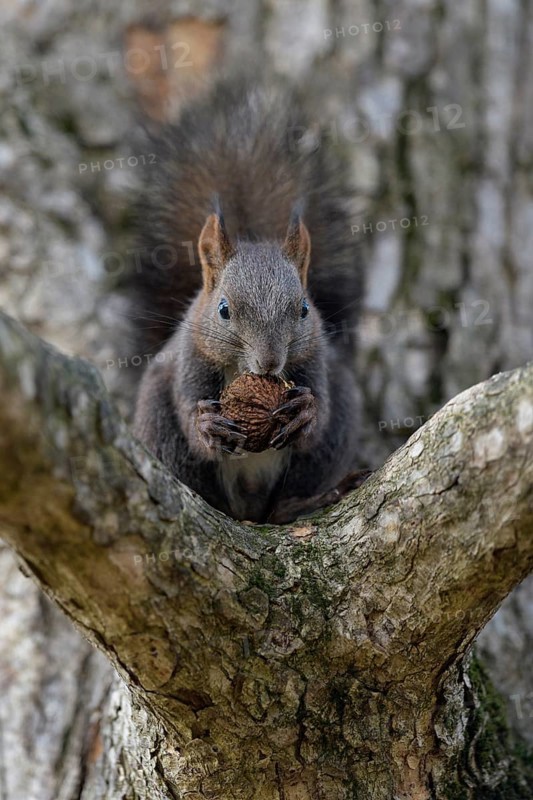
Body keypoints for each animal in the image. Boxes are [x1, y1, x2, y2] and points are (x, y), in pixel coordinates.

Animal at [130, 76, 364, 523]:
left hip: (339, 422)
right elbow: (189, 414)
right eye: (223, 310)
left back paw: (303, 502)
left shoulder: (315, 358)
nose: (270, 363)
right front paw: (205, 426)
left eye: (303, 309)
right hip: (156, 417)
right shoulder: (191, 359)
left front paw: (306, 413)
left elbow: (320, 413)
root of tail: (250, 507)